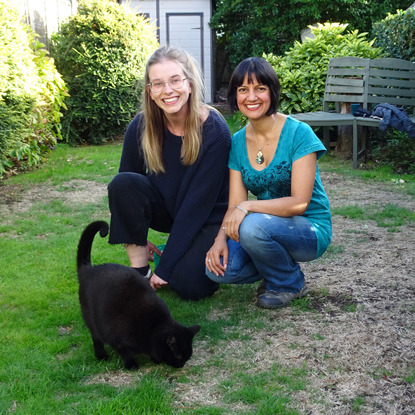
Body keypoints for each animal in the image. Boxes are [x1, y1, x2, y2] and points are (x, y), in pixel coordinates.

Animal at [78, 221, 203, 370]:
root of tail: (88, 269)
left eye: (188, 357)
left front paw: (155, 359)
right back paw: (101, 356)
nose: (181, 365)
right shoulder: (117, 338)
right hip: (91, 319)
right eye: (178, 356)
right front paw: (131, 365)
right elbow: (125, 352)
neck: (153, 327)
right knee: (96, 337)